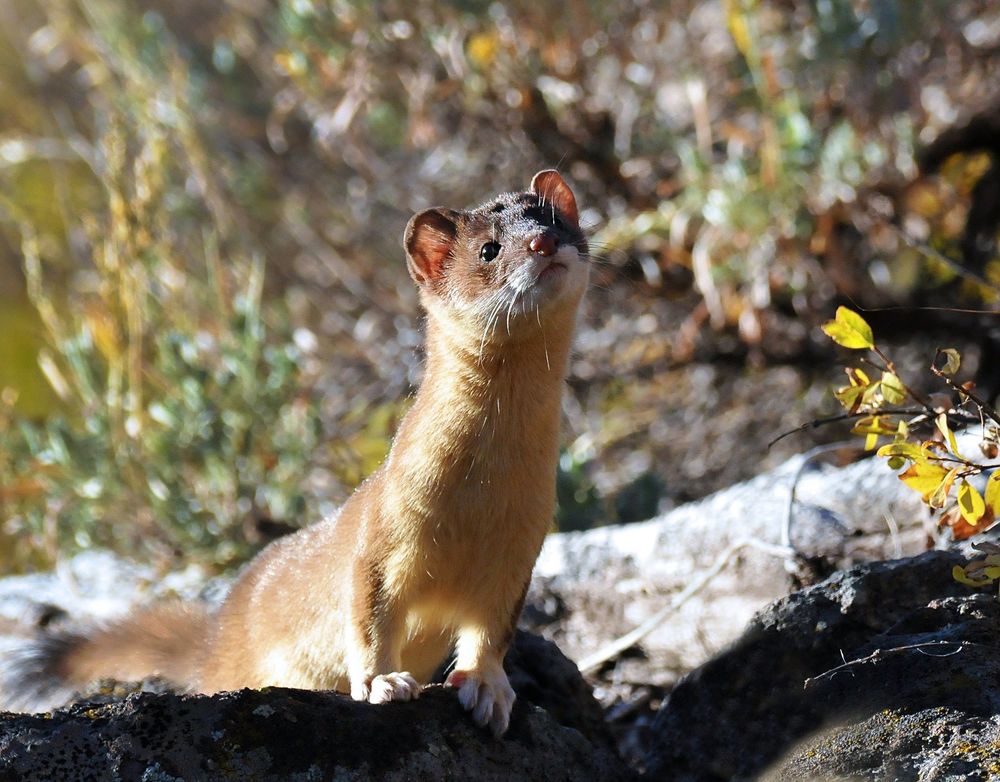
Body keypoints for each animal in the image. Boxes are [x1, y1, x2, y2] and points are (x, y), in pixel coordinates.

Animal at [3, 168, 588, 740]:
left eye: (555, 220)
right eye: (488, 249)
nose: (542, 242)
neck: (480, 501)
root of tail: (217, 635)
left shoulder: (519, 553)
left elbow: (491, 634)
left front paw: (489, 690)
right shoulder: (383, 532)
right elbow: (369, 616)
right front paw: (383, 682)